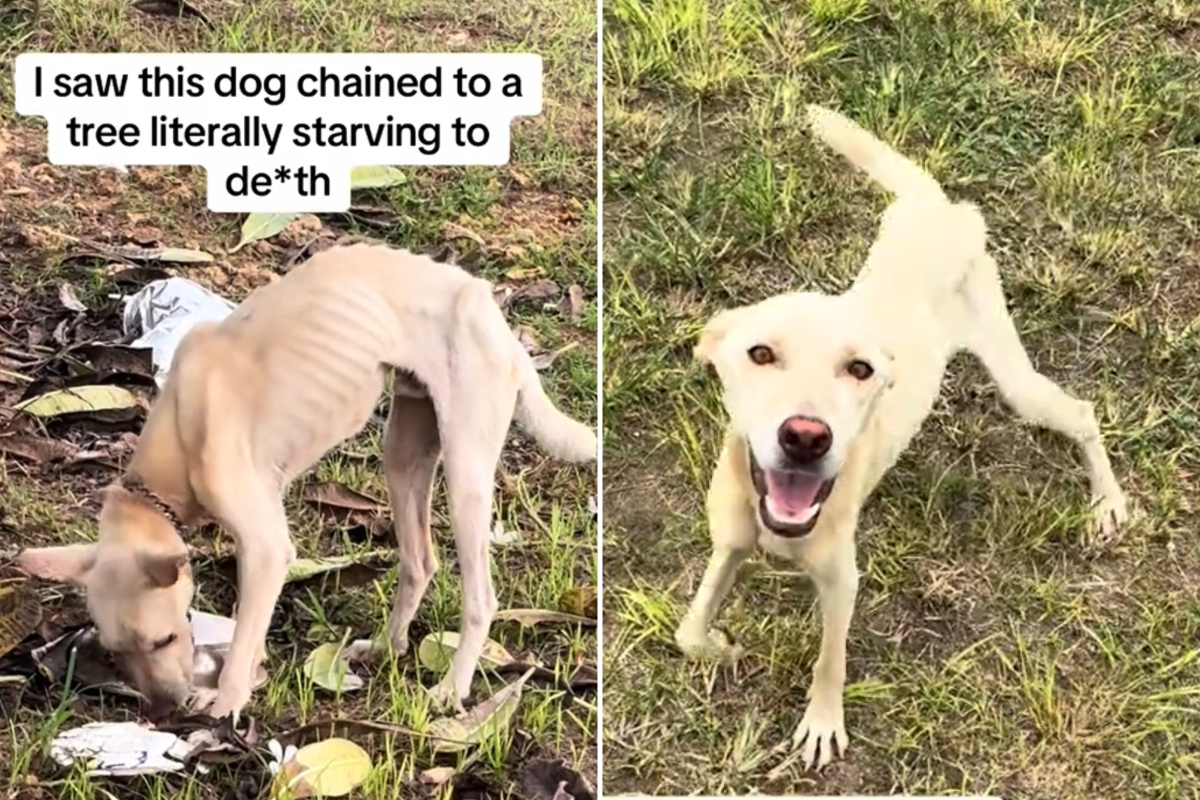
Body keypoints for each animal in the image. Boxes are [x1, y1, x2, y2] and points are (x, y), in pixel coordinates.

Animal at [16, 244, 597, 719]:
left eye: (165, 639)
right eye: (117, 653)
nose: (164, 712)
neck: (180, 426)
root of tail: (488, 308)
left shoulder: (269, 547)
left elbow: (243, 638)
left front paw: (225, 705)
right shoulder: (260, 539)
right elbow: (251, 627)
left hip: (465, 473)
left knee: (481, 598)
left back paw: (452, 690)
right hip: (404, 455)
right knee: (419, 562)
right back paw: (387, 649)